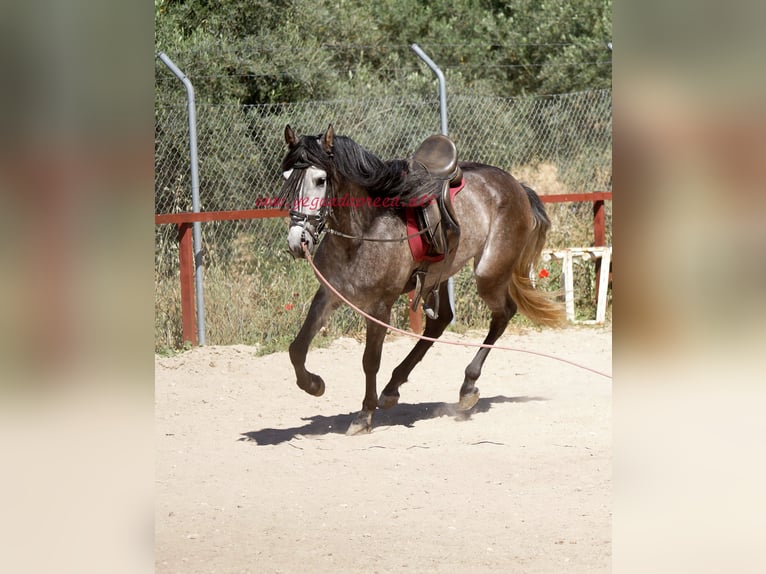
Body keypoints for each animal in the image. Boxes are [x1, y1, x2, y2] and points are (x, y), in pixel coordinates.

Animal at [280, 125, 564, 436]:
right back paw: (393, 388)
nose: (298, 240)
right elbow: (297, 348)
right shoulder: (328, 294)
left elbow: (370, 360)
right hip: (437, 278)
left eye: (320, 180)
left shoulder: (381, 306)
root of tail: (515, 184)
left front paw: (364, 415)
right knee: (440, 323)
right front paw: (314, 384)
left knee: (503, 314)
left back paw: (467, 386)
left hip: (489, 273)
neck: (363, 232)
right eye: (286, 178)